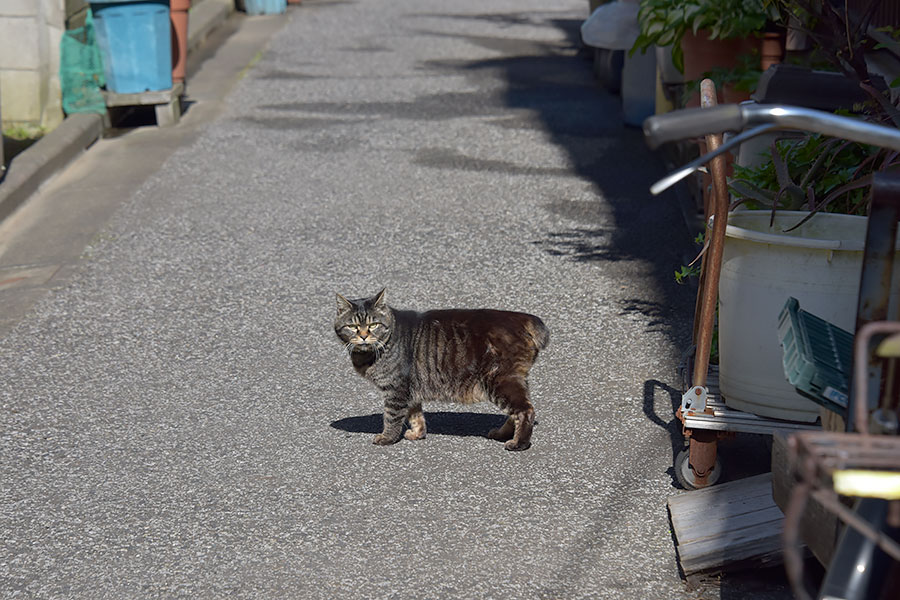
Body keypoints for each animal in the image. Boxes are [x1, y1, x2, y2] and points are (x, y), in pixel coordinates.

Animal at [332, 290, 548, 450]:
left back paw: (518, 443)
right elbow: (415, 415)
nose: (363, 336)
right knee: (516, 412)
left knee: (525, 411)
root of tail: (523, 318)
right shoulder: (410, 388)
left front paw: (387, 438)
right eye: (352, 326)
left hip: (499, 380)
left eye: (373, 324)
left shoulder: (396, 389)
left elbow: (391, 417)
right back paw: (502, 434)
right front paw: (417, 434)